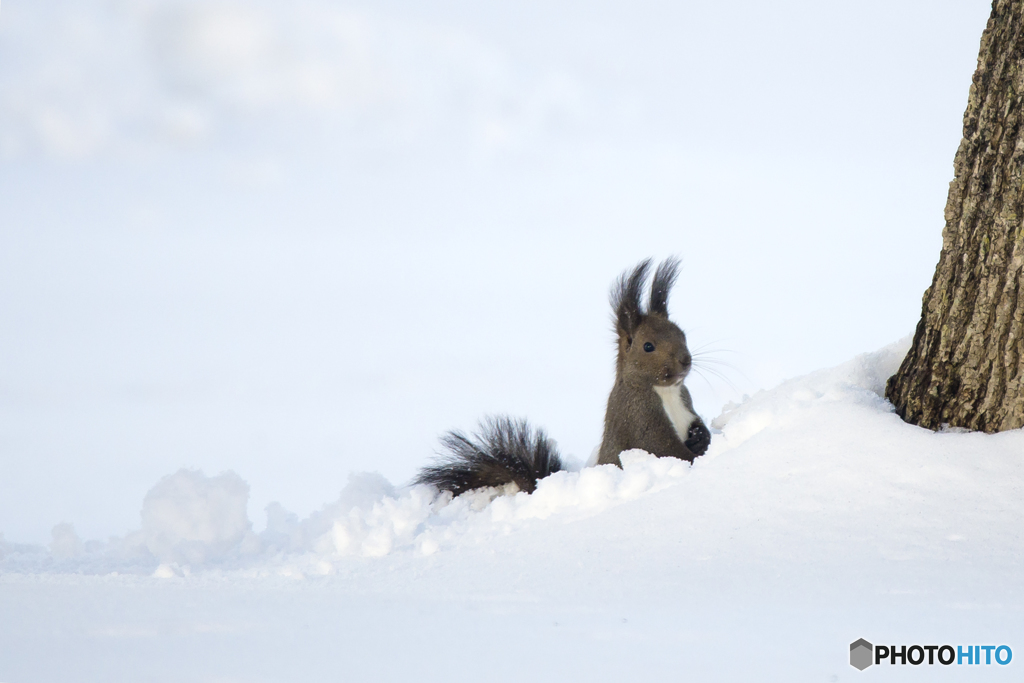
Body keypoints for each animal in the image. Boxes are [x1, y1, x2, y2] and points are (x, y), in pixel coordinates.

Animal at [411, 258, 708, 497]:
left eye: (681, 332)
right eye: (648, 346)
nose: (685, 360)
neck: (664, 391)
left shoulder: (685, 402)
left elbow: (696, 425)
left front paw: (700, 437)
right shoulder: (639, 416)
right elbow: (664, 448)